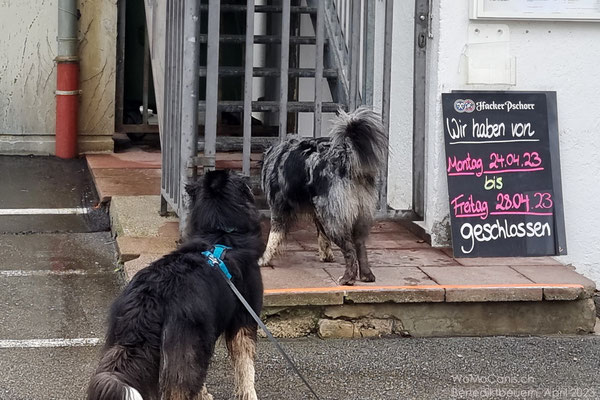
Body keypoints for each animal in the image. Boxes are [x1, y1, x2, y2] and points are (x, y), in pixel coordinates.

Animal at [86, 170, 262, 400]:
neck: (220, 233)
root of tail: (149, 300)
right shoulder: (244, 317)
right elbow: (246, 367)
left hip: (121, 344)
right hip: (185, 346)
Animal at [260, 108, 386, 286]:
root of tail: (345, 158)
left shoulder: (278, 209)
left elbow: (273, 238)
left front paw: (264, 260)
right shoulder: (317, 213)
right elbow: (322, 237)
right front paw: (326, 256)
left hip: (335, 221)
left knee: (349, 250)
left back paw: (347, 278)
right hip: (357, 217)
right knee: (360, 246)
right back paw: (367, 276)